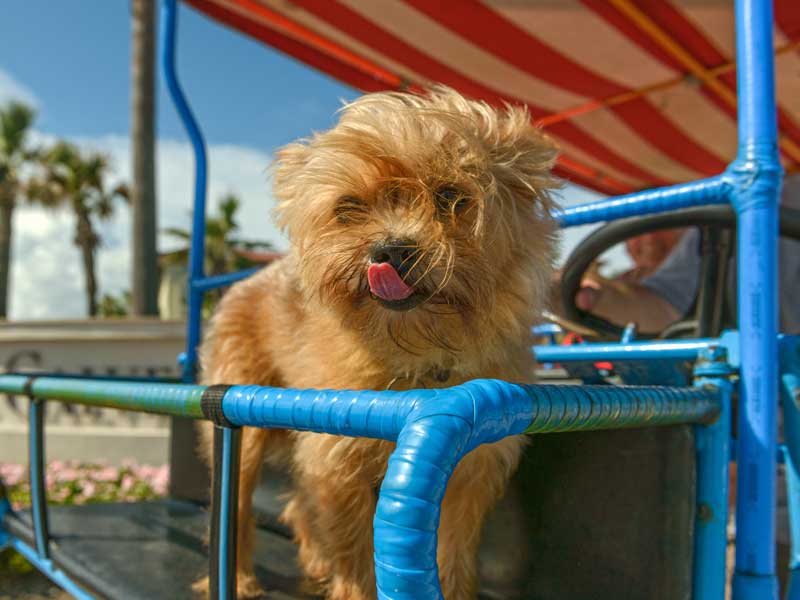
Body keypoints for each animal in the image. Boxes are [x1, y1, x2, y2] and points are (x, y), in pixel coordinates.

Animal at [198, 86, 564, 596]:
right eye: (349, 207)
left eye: (451, 196)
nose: (390, 250)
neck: (420, 361)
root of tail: (242, 282)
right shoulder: (338, 459)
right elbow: (354, 553)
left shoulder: (468, 473)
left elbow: (453, 551)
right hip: (245, 429)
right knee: (236, 503)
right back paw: (242, 579)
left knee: (297, 503)